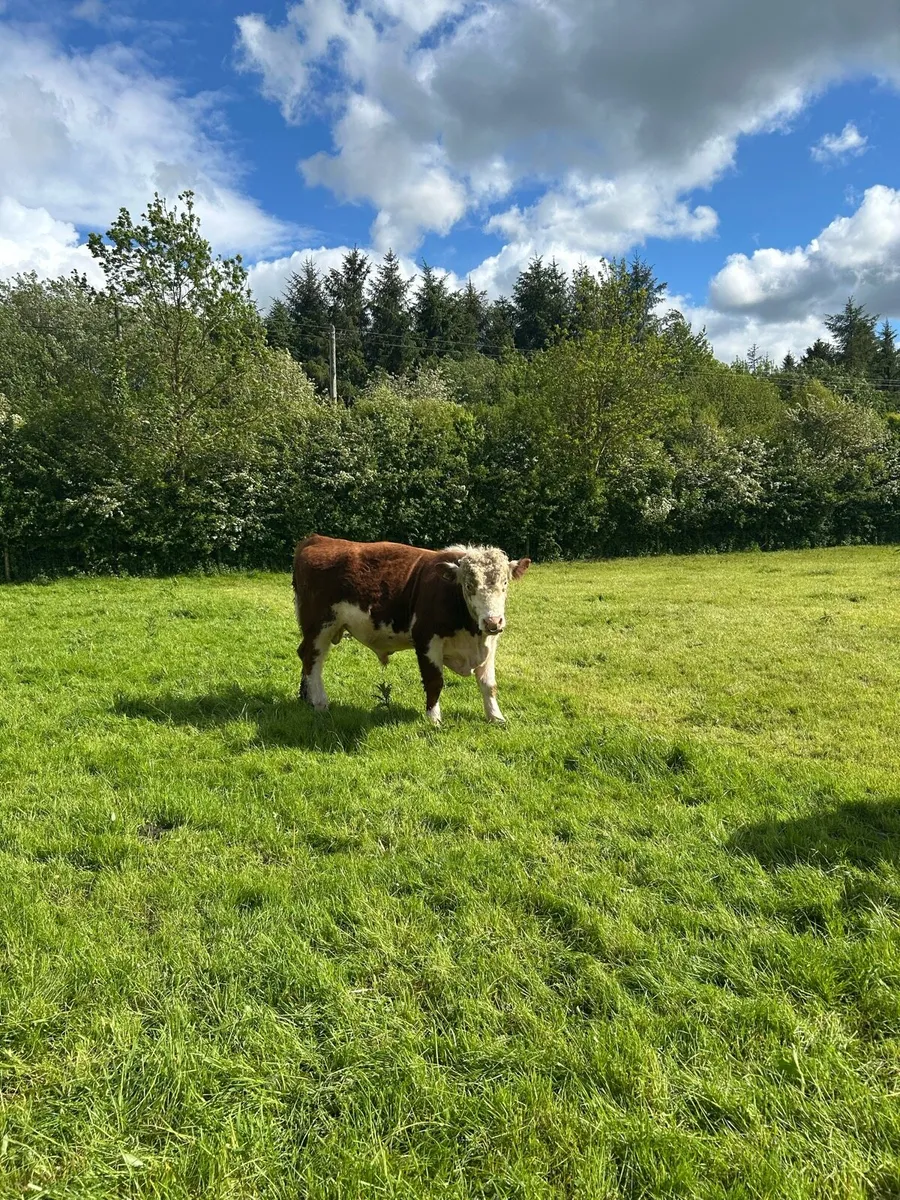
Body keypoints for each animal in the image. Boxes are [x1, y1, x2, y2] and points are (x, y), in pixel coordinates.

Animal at [292, 535, 531, 725]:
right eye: (469, 585)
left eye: (505, 583)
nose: (493, 621)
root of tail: (318, 539)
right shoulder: (426, 639)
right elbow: (434, 681)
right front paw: (434, 719)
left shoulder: (489, 643)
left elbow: (489, 684)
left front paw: (496, 717)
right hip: (320, 626)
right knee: (312, 658)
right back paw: (320, 702)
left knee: (305, 656)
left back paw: (306, 697)